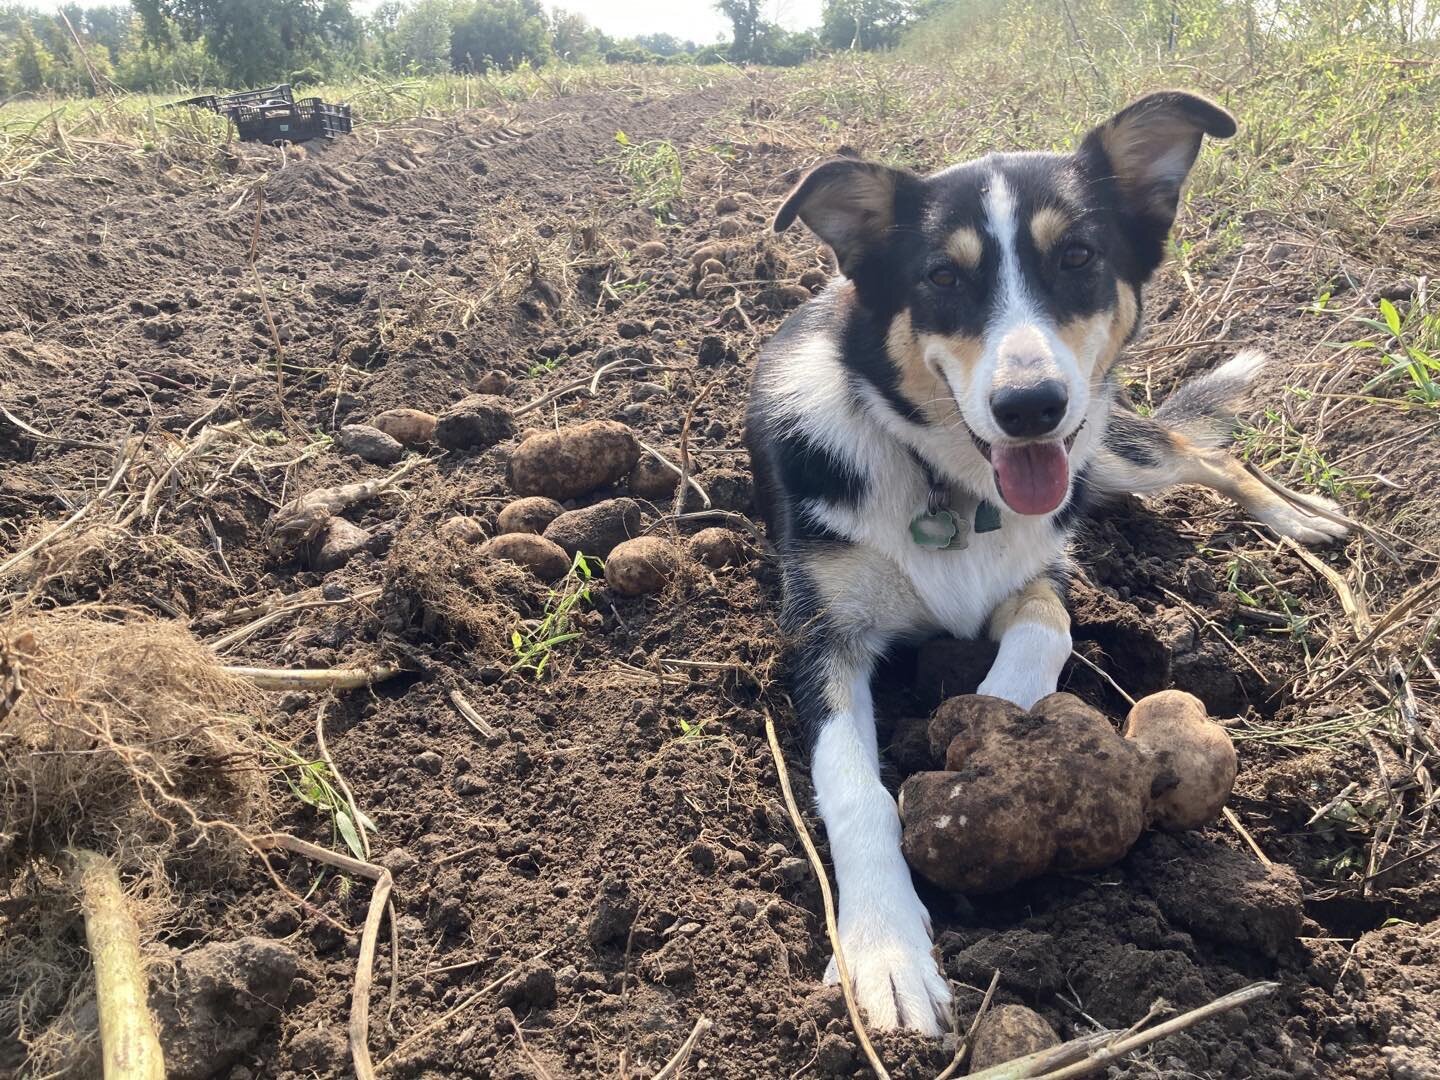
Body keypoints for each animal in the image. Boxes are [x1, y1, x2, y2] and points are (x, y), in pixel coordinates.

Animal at [743, 95, 1347, 1042]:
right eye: (941, 278)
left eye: (1078, 258)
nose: (1029, 408)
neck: (946, 480)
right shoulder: (822, 633)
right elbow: (854, 787)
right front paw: (886, 950)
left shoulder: (1046, 566)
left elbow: (1040, 641)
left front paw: (992, 739)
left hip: (1104, 447)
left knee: (1202, 453)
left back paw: (1299, 515)